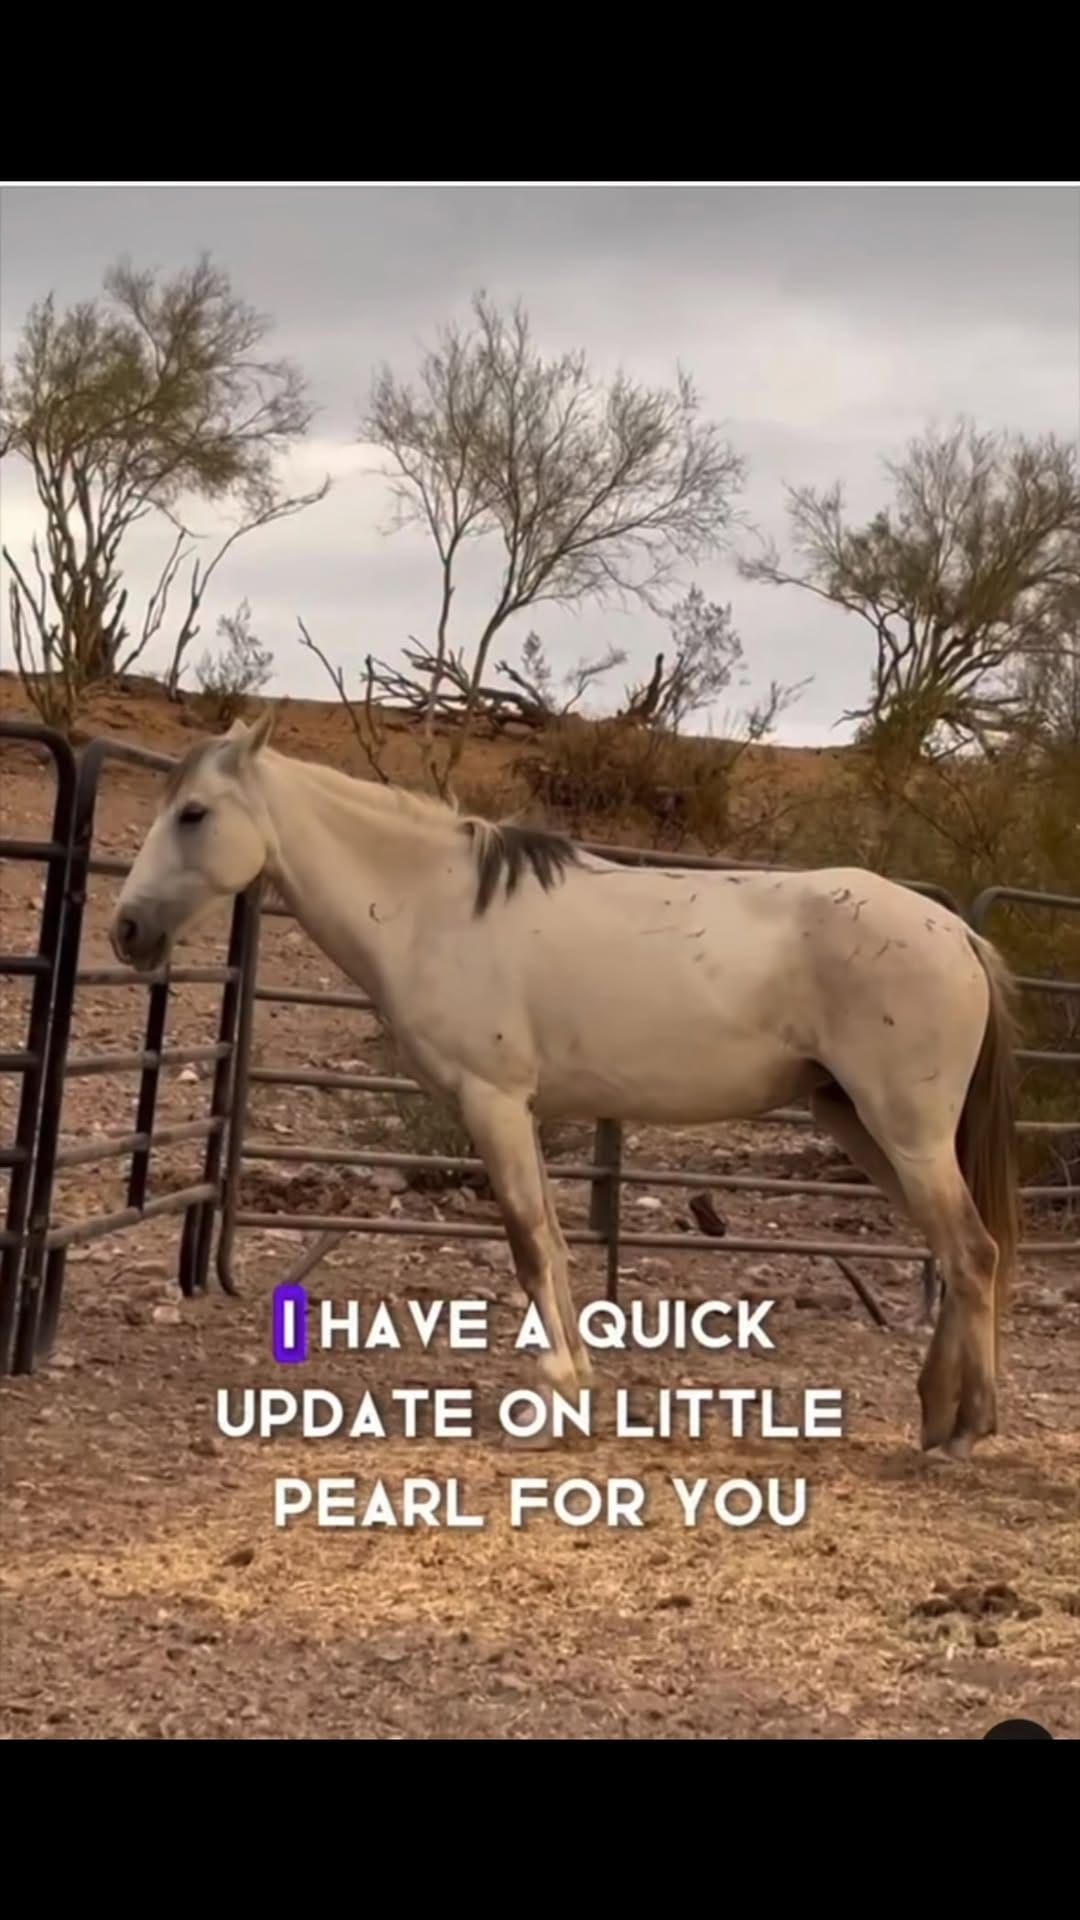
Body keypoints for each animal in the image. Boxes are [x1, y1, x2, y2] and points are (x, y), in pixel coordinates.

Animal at [110, 713, 1021, 1461]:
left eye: (193, 814)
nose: (126, 930)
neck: (436, 907)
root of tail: (957, 933)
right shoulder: (521, 1113)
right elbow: (550, 1236)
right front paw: (577, 1385)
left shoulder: (494, 1103)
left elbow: (528, 1241)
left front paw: (553, 1395)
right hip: (861, 1125)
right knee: (957, 1252)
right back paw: (937, 1414)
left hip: (905, 1130)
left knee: (972, 1252)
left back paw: (966, 1429)